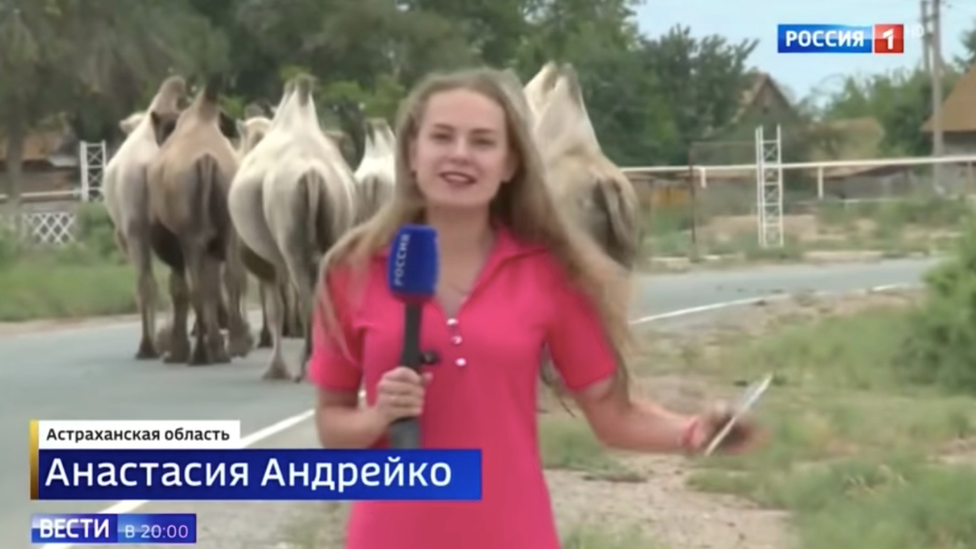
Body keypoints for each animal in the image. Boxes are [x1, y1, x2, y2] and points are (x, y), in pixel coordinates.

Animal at [146, 78, 254, 364]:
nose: (233, 124)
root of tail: (207, 160)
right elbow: (213, 285)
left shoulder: (172, 244)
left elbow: (179, 288)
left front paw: (177, 350)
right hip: (227, 226)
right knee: (232, 276)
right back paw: (234, 345)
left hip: (190, 236)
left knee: (195, 285)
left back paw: (203, 352)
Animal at [229, 74, 358, 382]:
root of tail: (312, 174)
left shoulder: (265, 259)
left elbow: (276, 307)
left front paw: (275, 369)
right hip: (335, 218)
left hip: (289, 230)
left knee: (304, 288)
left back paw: (305, 364)